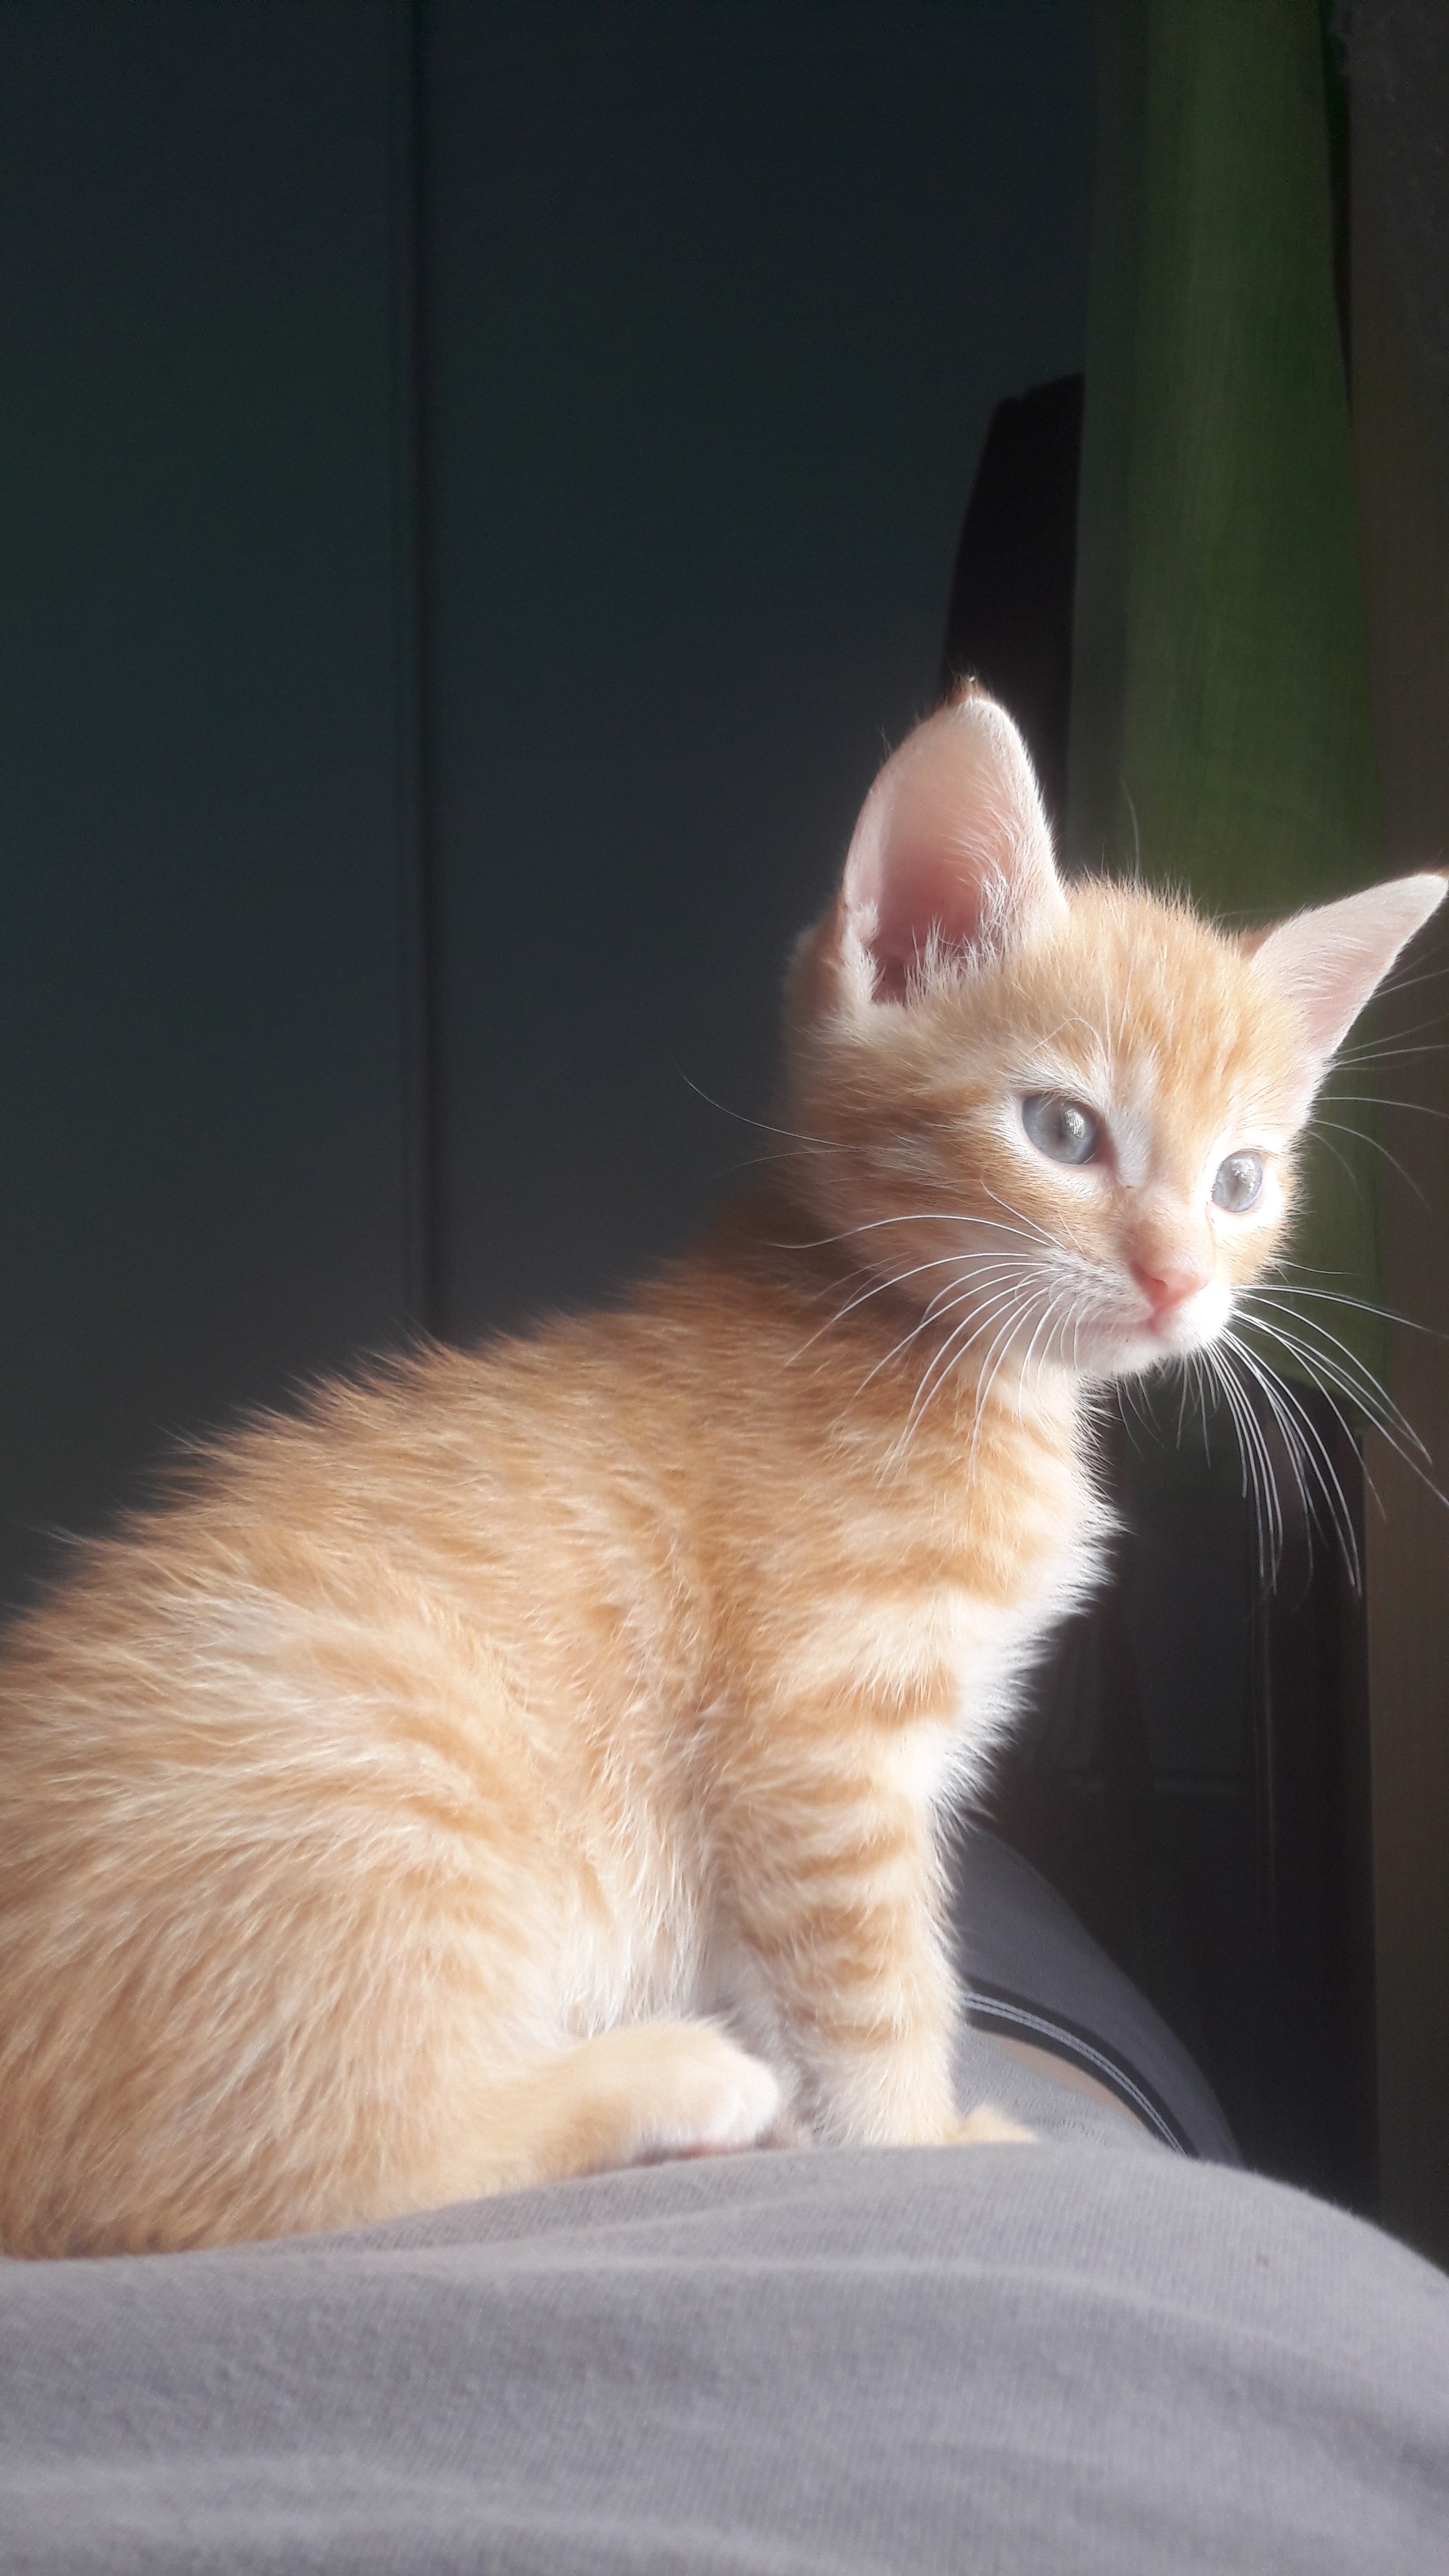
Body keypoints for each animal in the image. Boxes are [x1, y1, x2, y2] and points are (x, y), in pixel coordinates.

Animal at [0, 687, 1440, 2257]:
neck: (906, 1337)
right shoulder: (819, 1745)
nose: (1182, 1281)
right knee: (299, 2174)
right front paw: (917, 2138)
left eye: (1242, 1181)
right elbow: (874, 1979)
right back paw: (666, 2081)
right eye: (1062, 1129)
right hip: (383, 1777)